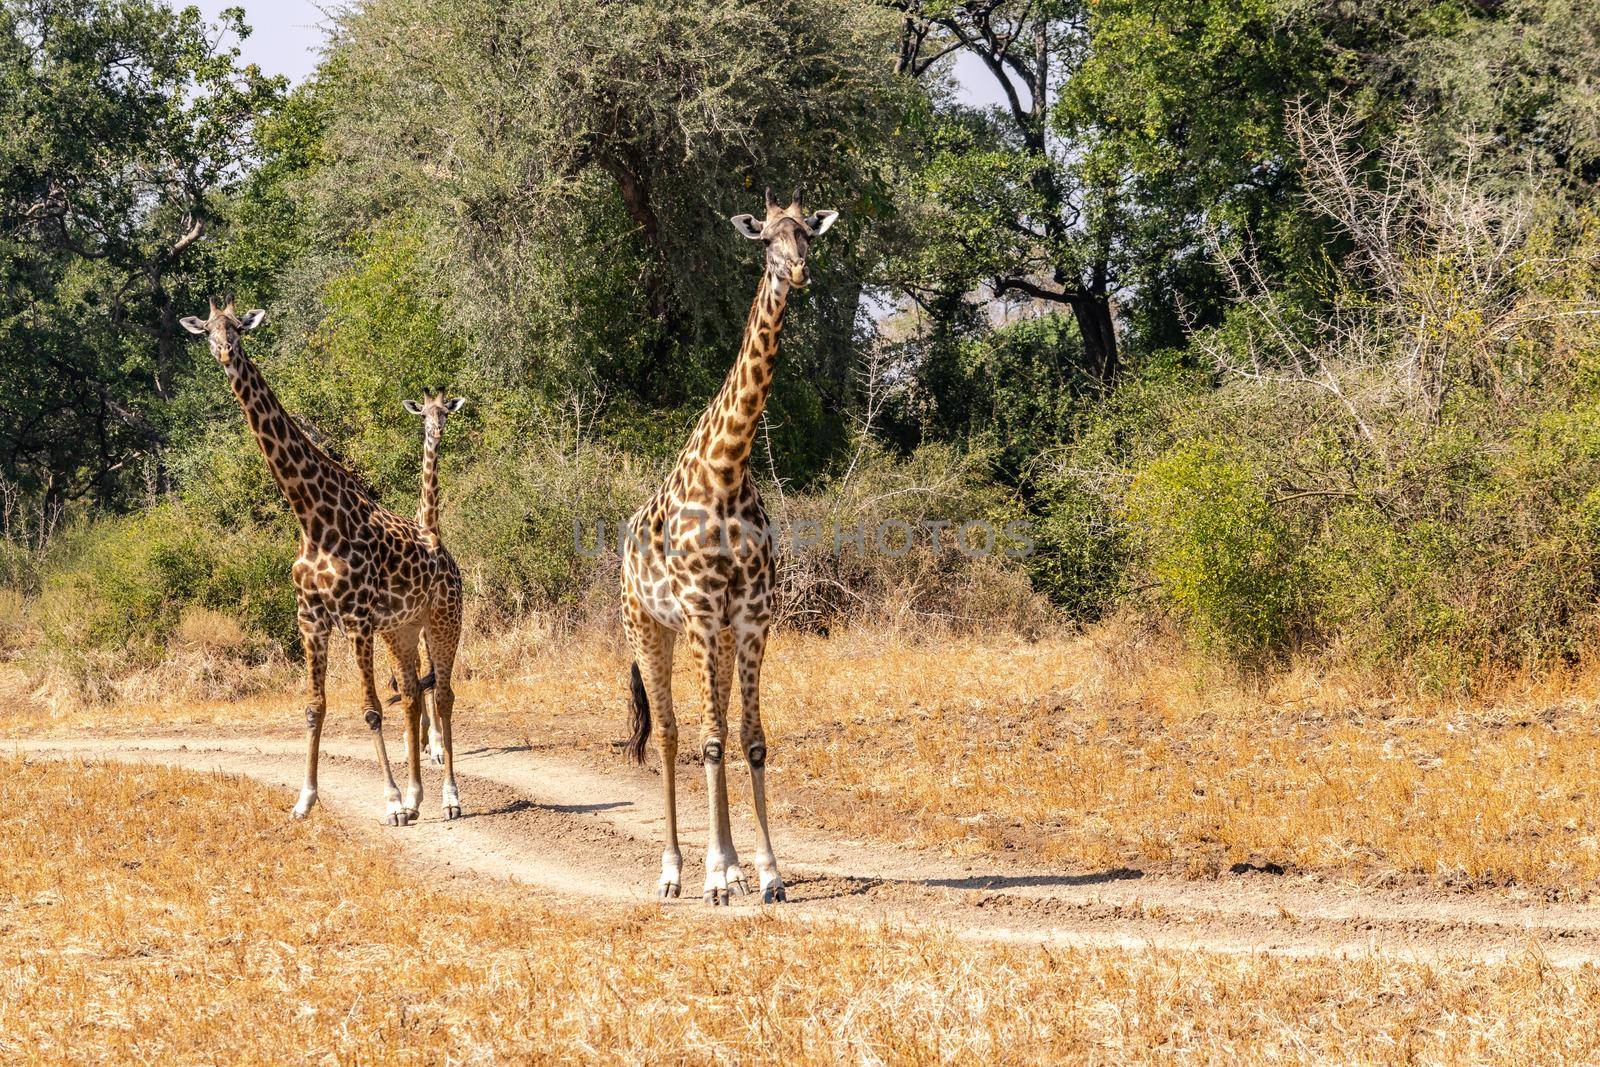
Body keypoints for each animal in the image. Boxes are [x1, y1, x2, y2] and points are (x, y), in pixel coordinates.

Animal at [184, 300, 467, 825]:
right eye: (207, 329)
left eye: (238, 328)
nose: (225, 352)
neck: (312, 519)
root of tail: (443, 549)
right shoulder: (311, 618)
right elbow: (314, 707)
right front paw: (305, 799)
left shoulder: (355, 618)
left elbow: (371, 708)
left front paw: (390, 802)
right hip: (402, 629)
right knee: (413, 694)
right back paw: (418, 798)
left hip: (444, 619)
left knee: (443, 693)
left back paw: (449, 798)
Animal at [617, 187, 838, 908]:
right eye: (765, 240)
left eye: (808, 234)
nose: (798, 272)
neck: (729, 466)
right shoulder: (701, 613)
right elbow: (710, 740)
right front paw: (716, 874)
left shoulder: (750, 617)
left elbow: (752, 738)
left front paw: (766, 873)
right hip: (649, 626)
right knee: (670, 733)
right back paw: (675, 871)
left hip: (701, 633)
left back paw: (730, 866)